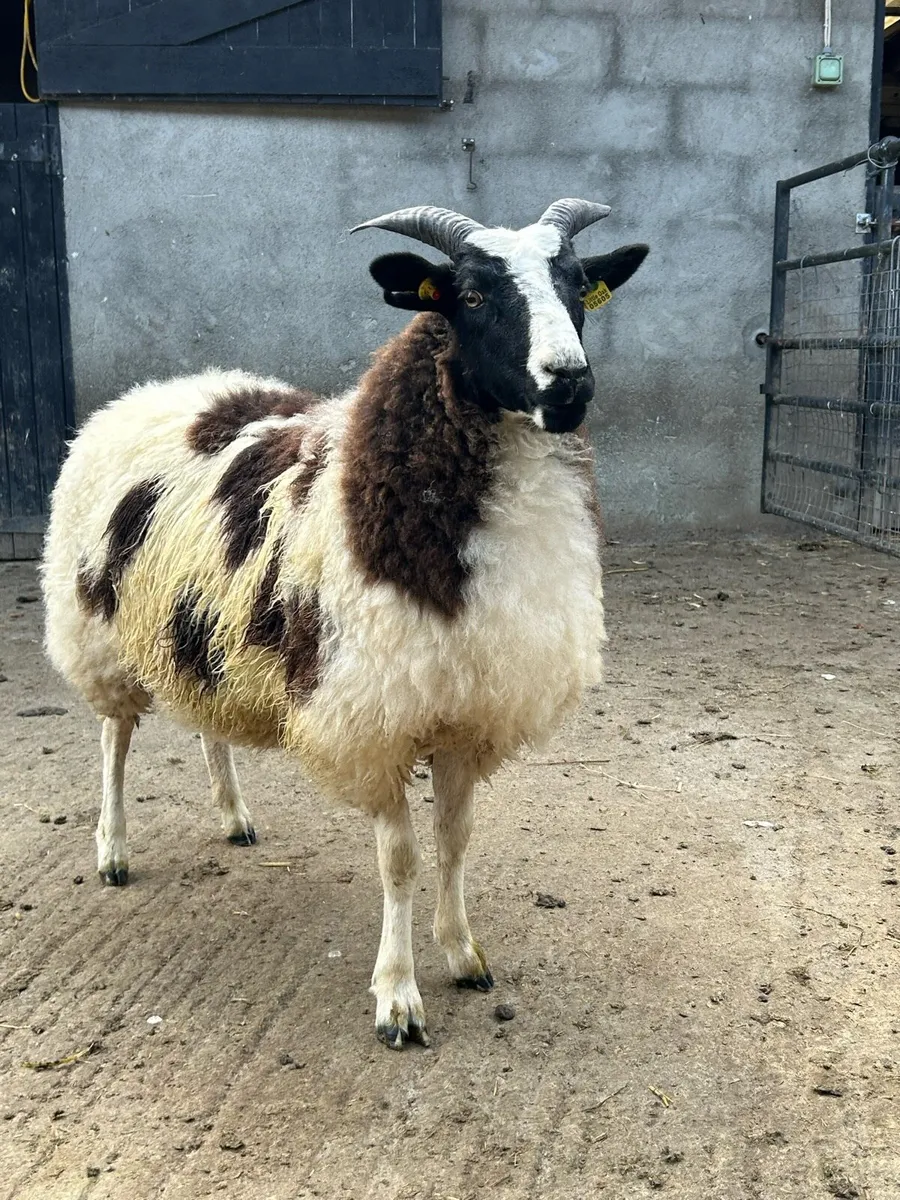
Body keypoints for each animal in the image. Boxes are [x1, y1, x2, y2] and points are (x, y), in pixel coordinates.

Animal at [41, 199, 648, 1049]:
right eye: (470, 296)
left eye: (574, 286)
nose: (570, 385)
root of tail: (150, 391)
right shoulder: (374, 713)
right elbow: (401, 859)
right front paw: (397, 997)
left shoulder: (467, 707)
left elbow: (455, 840)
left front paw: (462, 952)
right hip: (97, 627)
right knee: (114, 740)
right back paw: (113, 848)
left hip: (200, 629)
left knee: (205, 722)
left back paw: (234, 817)